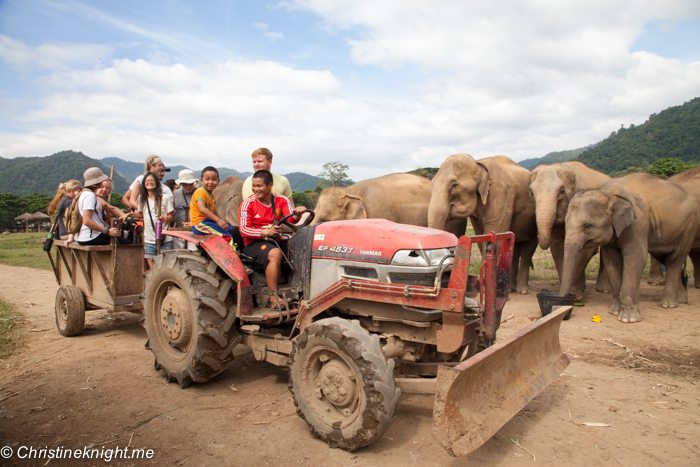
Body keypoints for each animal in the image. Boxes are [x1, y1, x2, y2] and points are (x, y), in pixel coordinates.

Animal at [426, 154, 536, 294]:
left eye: (454, 185)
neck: (479, 163)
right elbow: (481, 237)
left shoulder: (501, 195)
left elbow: (495, 233)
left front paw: (487, 288)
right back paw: (511, 289)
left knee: (529, 249)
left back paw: (522, 291)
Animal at [532, 163, 612, 298]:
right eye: (531, 193)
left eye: (562, 191)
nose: (536, 234)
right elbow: (557, 249)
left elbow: (588, 250)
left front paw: (575, 295)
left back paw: (604, 290)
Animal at [556, 174, 700, 324]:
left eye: (587, 226)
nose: (564, 306)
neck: (607, 193)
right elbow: (611, 261)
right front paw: (614, 311)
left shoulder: (637, 223)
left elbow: (635, 259)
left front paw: (628, 319)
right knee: (665, 256)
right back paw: (681, 300)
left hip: (689, 227)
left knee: (674, 259)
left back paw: (668, 304)